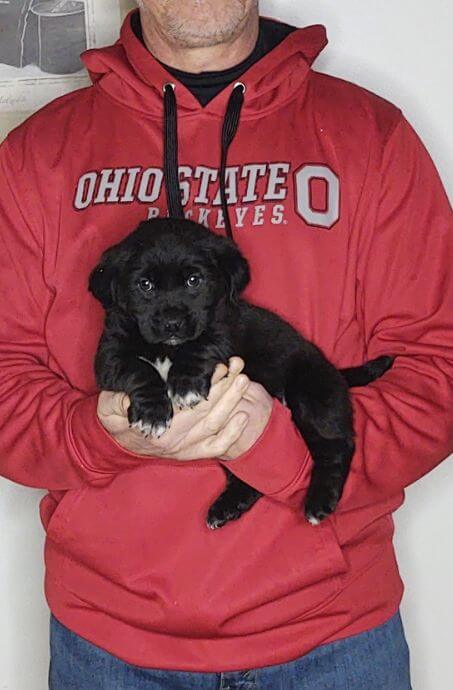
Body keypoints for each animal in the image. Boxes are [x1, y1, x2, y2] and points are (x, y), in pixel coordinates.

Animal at [89, 219, 392, 528]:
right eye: (145, 285)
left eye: (194, 280)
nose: (173, 324)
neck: (169, 348)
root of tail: (335, 372)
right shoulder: (109, 355)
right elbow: (139, 369)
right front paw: (152, 412)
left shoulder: (222, 332)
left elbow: (201, 346)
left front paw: (185, 385)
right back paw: (228, 506)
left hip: (312, 394)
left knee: (337, 446)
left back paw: (319, 502)